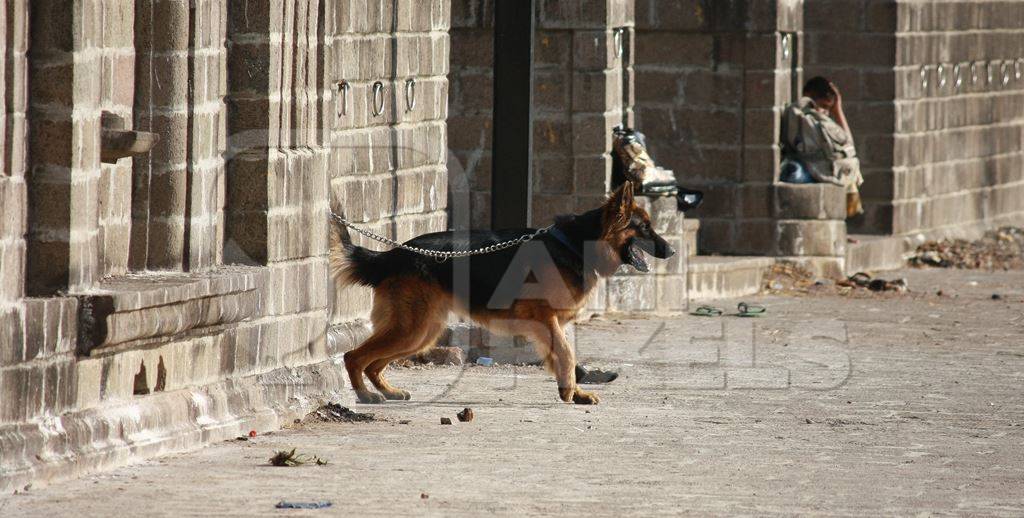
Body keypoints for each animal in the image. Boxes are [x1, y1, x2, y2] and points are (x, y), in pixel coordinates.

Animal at [327, 183, 675, 405]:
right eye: (645, 227)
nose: (671, 251)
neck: (577, 244)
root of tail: (393, 254)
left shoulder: (552, 325)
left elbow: (564, 355)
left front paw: (573, 391)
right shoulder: (545, 319)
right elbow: (566, 353)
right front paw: (572, 392)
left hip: (422, 332)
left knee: (372, 363)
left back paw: (387, 391)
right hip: (412, 329)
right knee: (353, 356)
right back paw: (365, 395)